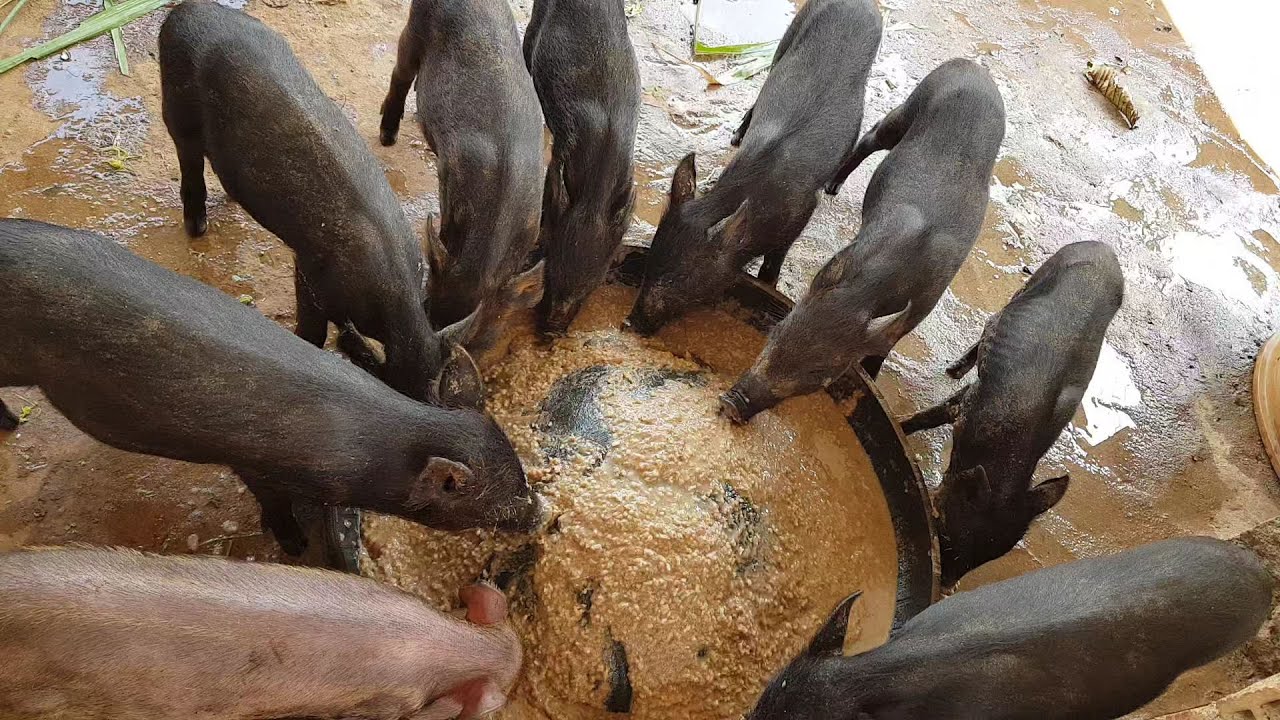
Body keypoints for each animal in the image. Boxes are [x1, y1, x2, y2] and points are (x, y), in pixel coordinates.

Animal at [0, 219, 541, 557]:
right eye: (493, 500)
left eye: (521, 475)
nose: (539, 512)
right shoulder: (255, 463)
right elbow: (271, 502)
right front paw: (296, 545)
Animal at [160, 0, 458, 404]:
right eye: (399, 386)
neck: (396, 298)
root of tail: (184, 11)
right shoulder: (310, 271)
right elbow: (313, 331)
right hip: (176, 108)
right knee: (188, 163)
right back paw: (197, 228)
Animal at [626, 0, 882, 335]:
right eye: (651, 262)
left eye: (679, 279)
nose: (630, 322)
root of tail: (862, 5)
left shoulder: (802, 212)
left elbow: (772, 266)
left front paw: (768, 283)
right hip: (785, 41)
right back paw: (736, 136)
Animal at [720, 59, 1006, 424]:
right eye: (776, 331)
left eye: (821, 375)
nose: (731, 402)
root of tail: (973, 67)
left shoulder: (922, 305)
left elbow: (884, 347)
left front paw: (871, 373)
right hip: (911, 105)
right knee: (873, 136)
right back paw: (832, 185)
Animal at [899, 240, 1124, 586]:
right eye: (947, 537)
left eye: (985, 559)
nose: (947, 588)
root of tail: (1104, 247)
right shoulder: (969, 403)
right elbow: (931, 415)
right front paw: (900, 425)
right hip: (1033, 279)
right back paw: (953, 370)